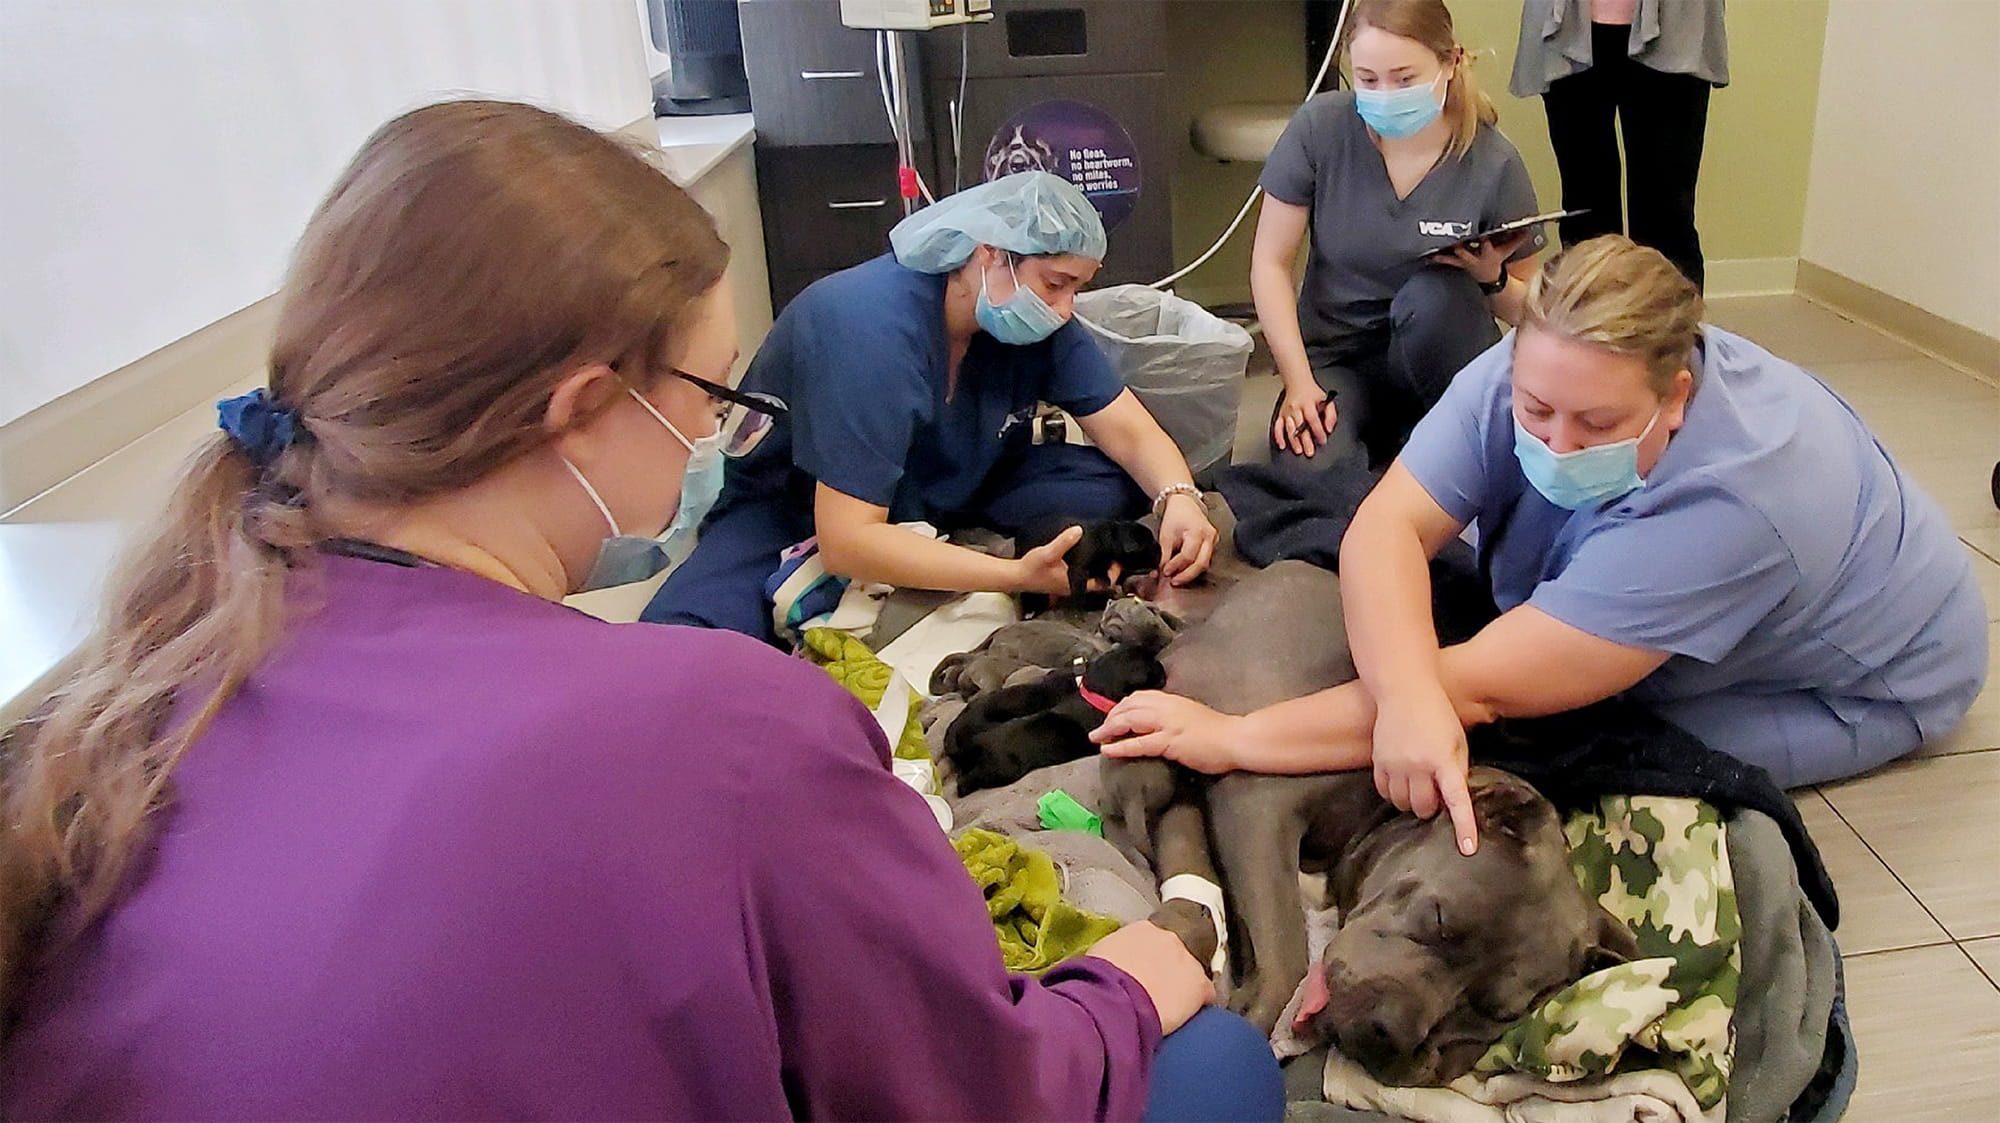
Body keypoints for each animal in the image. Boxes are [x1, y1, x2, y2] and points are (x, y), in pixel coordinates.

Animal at [1016, 515, 1160, 611]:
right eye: (1150, 544)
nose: (1161, 551)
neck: (1111, 536)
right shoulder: (1078, 568)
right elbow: (1079, 591)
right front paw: (1077, 613)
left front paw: (1103, 579)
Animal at [1096, 555, 1640, 1079]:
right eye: (1439, 918)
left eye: (1495, 1012)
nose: (1389, 1035)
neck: (1379, 812)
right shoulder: (1256, 806)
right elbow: (1288, 951)